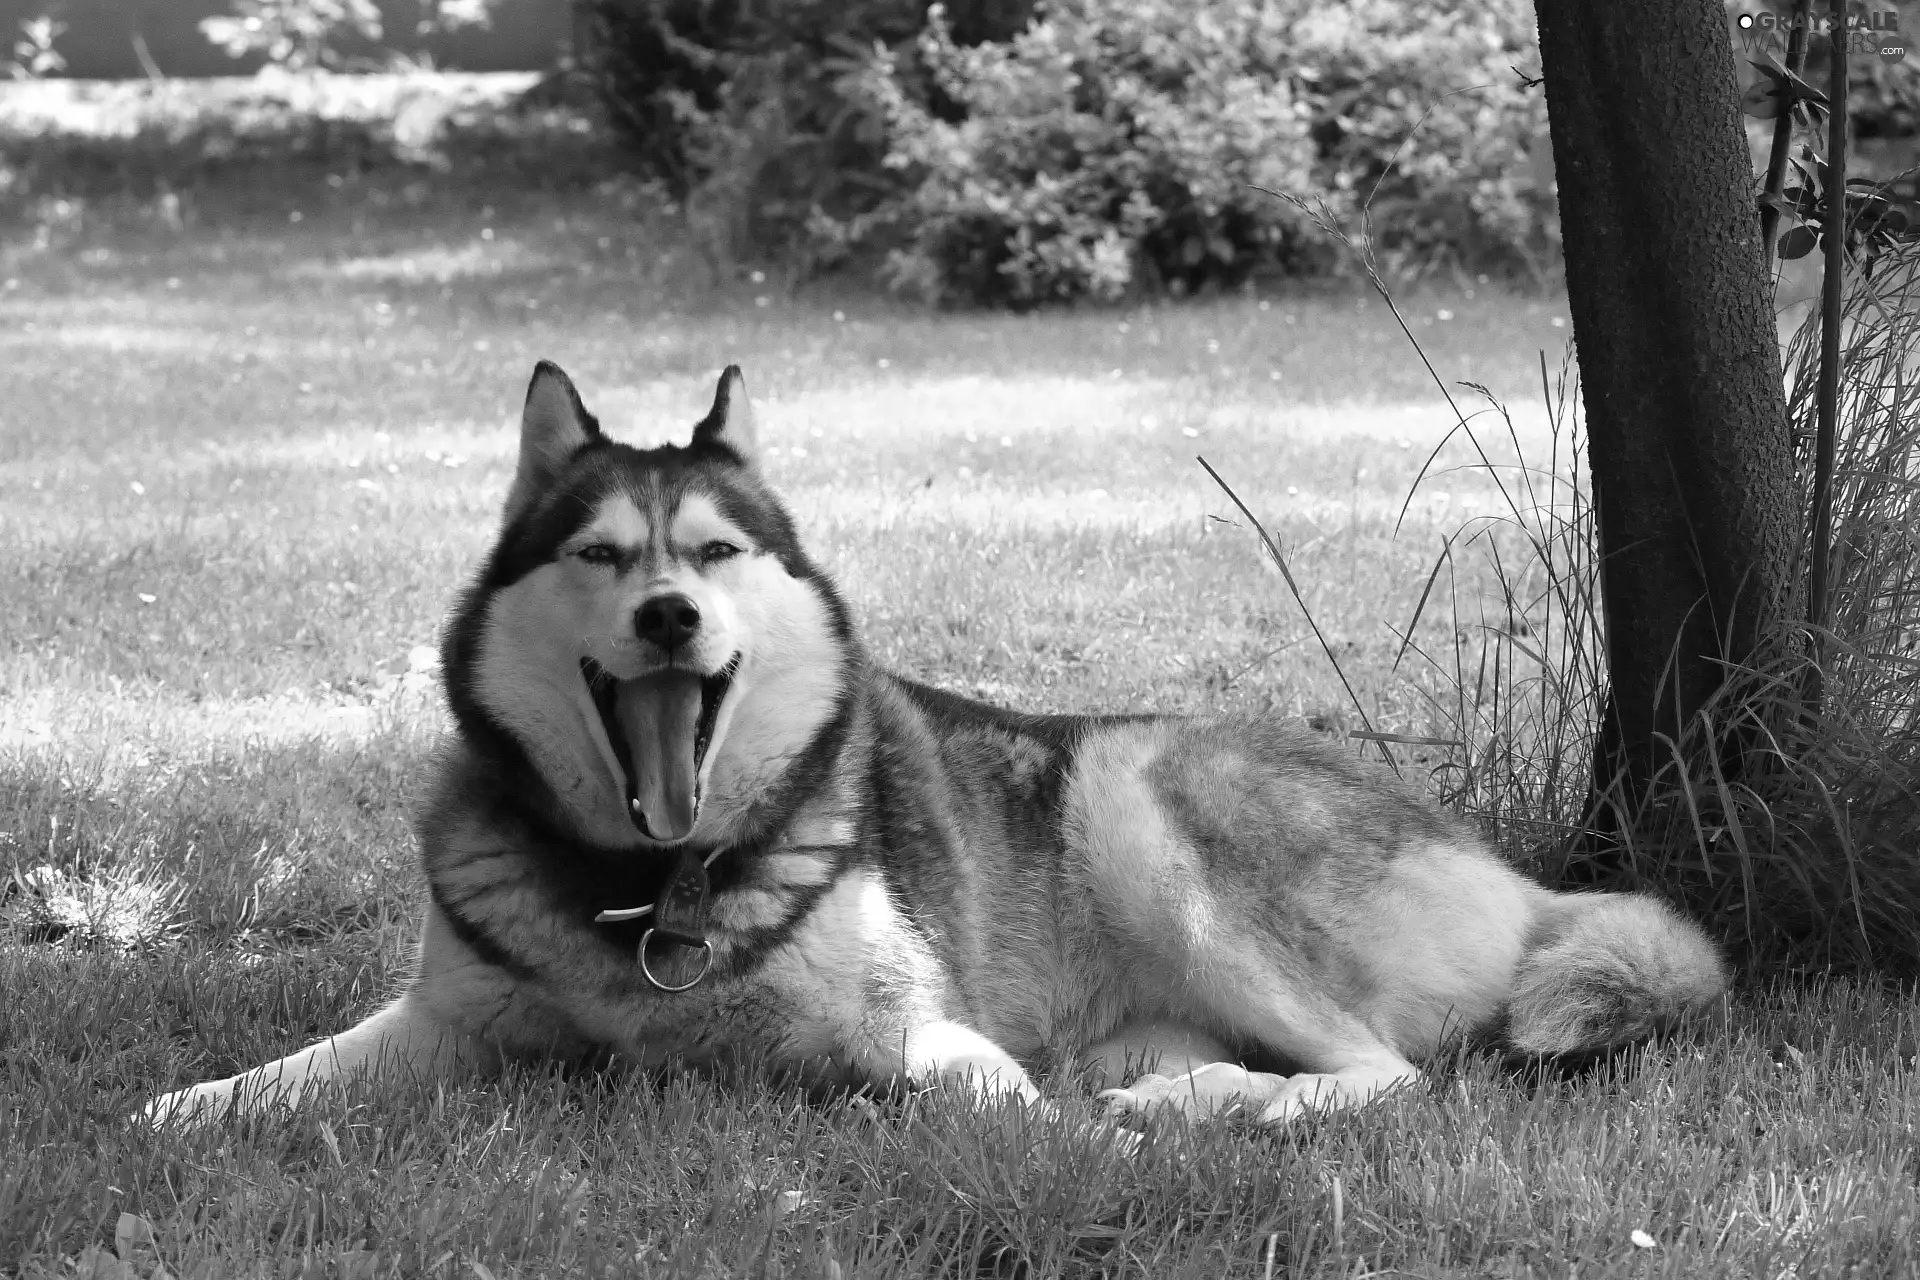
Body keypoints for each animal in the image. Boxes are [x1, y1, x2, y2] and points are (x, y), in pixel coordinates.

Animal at [145, 362, 1728, 1128]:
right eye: (599, 554)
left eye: (714, 550)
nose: (668, 615)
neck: (654, 891)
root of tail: (1525, 882)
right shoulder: (447, 1023)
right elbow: (263, 1083)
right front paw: (172, 1113)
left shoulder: (921, 1035)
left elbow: (994, 1115)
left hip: (1135, 796)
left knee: (1392, 1075)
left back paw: (1221, 1106)